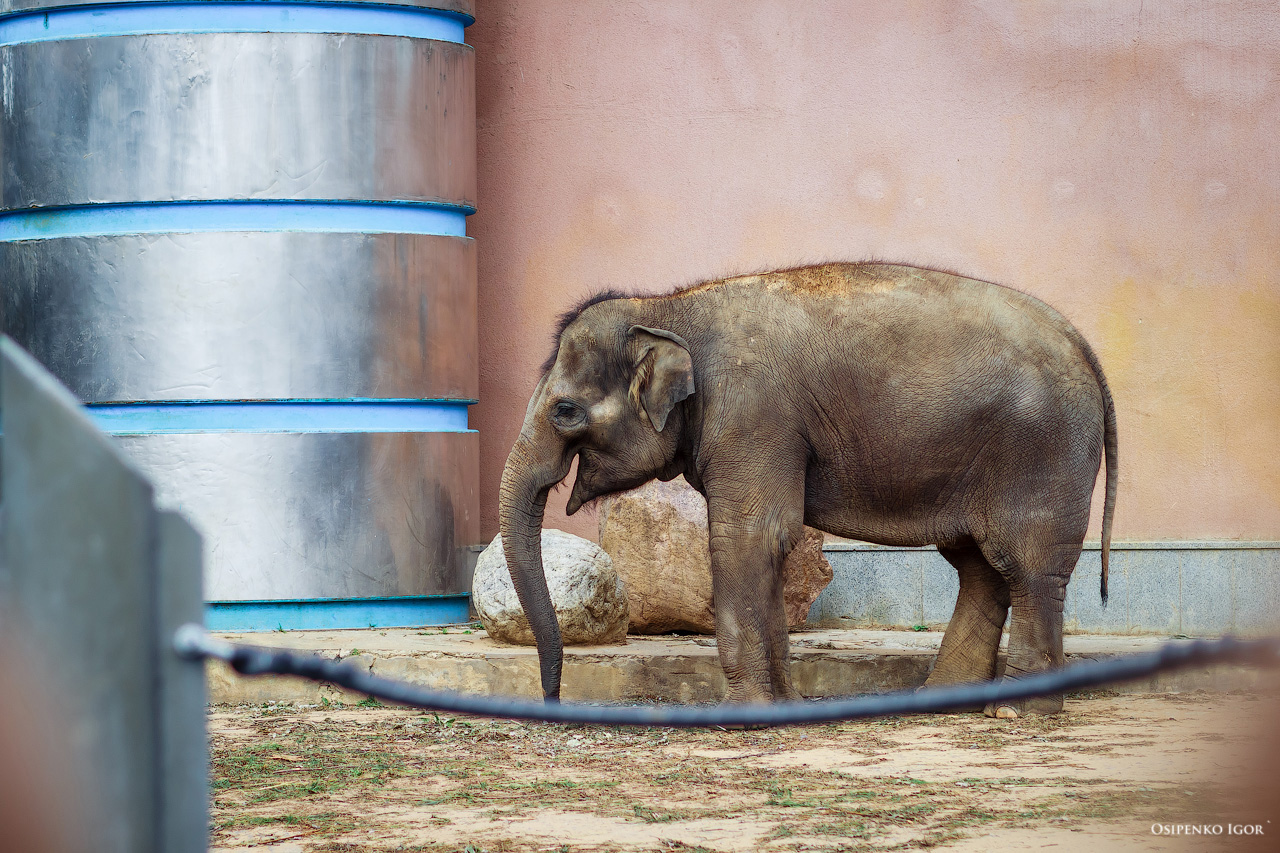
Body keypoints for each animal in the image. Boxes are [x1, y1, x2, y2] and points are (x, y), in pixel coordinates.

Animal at [494, 262, 1116, 712]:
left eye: (565, 411)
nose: (553, 698)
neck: (670, 307)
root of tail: (1084, 345)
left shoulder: (754, 417)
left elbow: (749, 536)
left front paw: (741, 713)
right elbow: (768, 543)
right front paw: (783, 705)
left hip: (1043, 450)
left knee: (1027, 566)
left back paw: (1018, 710)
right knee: (979, 567)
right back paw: (945, 700)